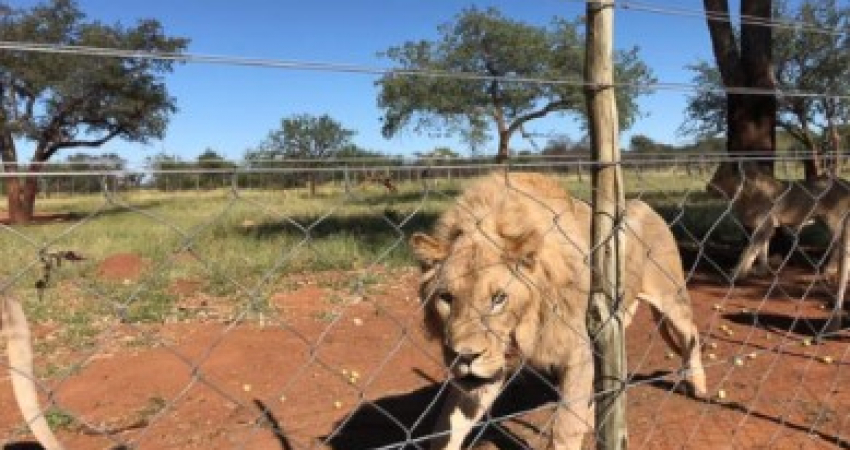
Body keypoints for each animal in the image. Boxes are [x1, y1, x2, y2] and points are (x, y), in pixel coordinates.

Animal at [410, 171, 704, 448]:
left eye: (499, 298)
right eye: (446, 298)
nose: (465, 356)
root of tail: (646, 205)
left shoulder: (578, 348)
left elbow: (566, 425)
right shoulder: (490, 364)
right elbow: (447, 428)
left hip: (671, 299)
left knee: (692, 332)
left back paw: (698, 385)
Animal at [704, 163, 844, 334]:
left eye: (720, 175)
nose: (707, 187)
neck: (745, 192)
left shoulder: (765, 226)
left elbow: (748, 252)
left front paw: (736, 273)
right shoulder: (765, 228)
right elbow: (762, 251)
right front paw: (761, 270)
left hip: (834, 222)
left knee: (838, 246)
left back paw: (829, 270)